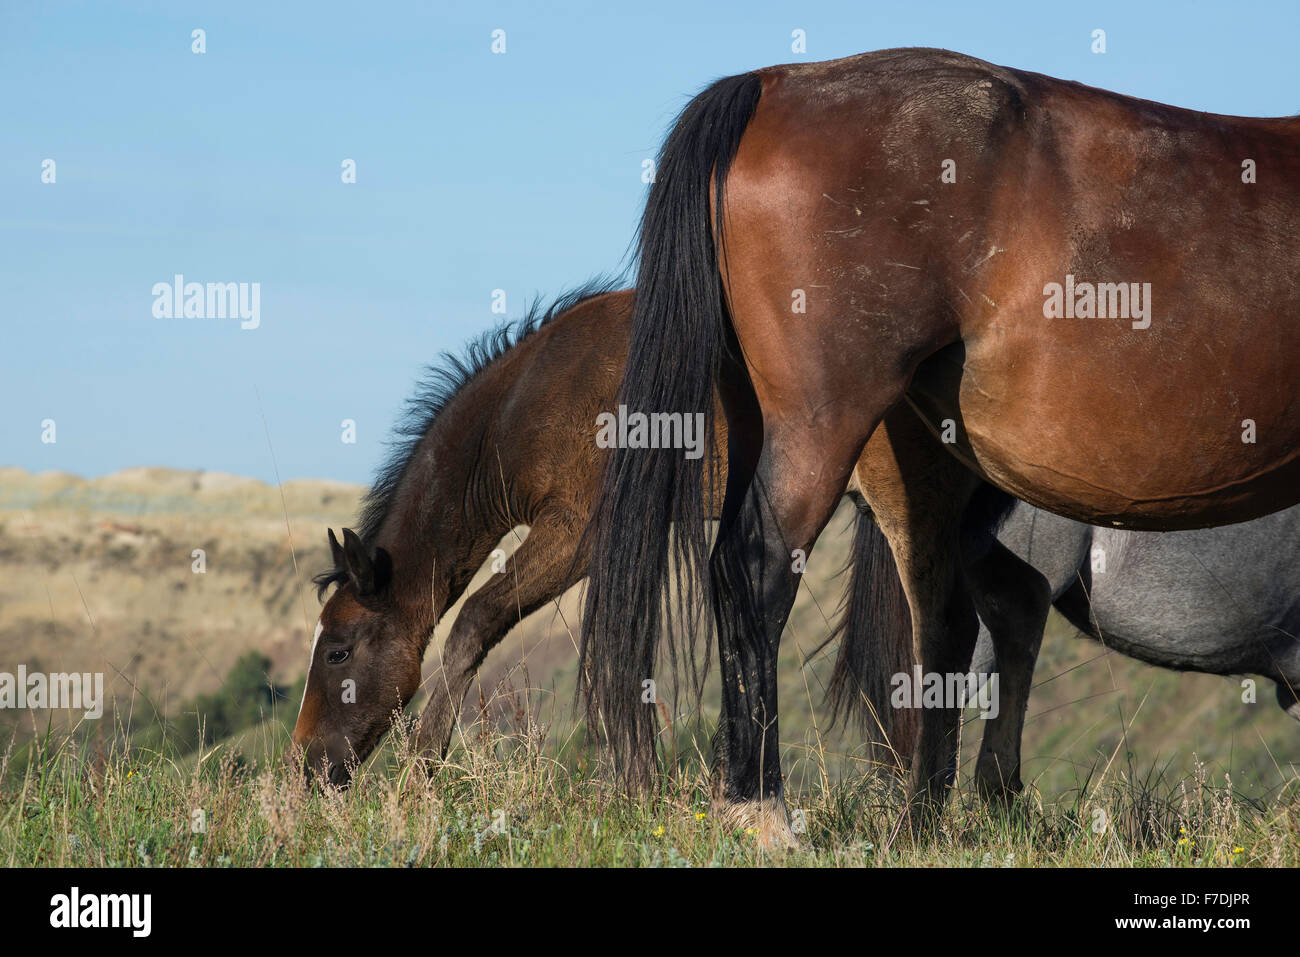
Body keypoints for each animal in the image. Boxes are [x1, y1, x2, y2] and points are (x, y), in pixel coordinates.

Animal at [292, 282, 915, 785]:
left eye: (338, 652)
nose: (306, 764)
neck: (526, 400)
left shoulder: (578, 533)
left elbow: (476, 623)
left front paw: (421, 769)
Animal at [585, 46, 1300, 837]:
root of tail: (775, 83)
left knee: (946, 613)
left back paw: (929, 812)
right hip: (822, 423)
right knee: (759, 567)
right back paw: (761, 805)